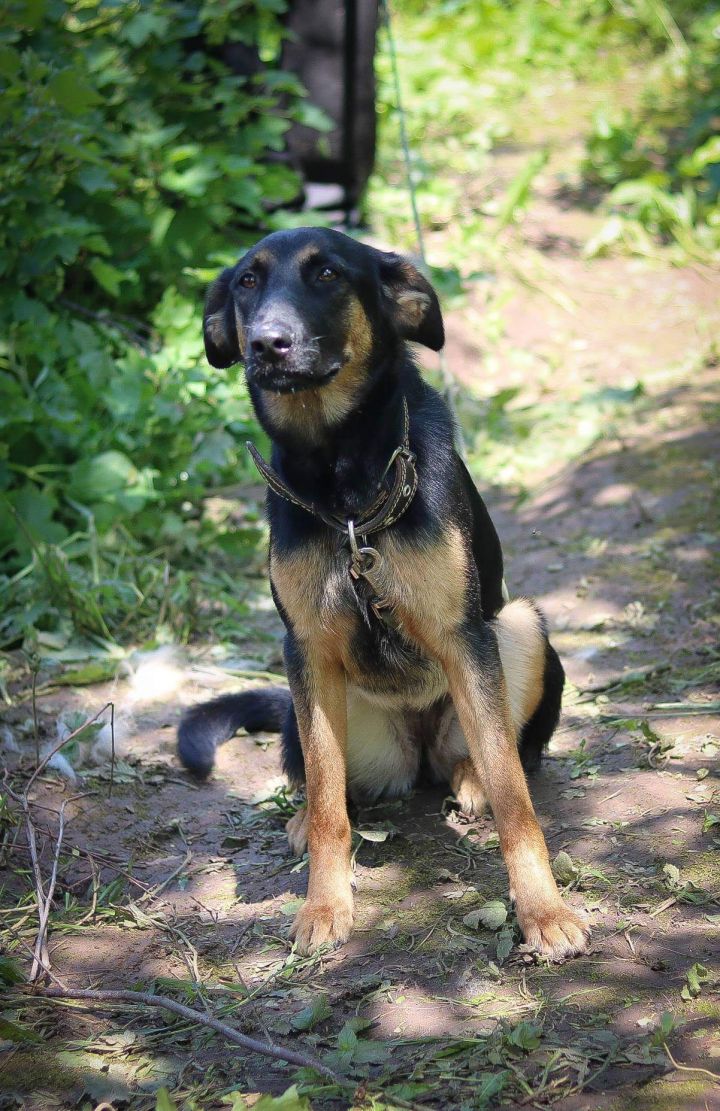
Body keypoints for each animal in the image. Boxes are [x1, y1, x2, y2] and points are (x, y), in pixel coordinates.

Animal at [178, 227, 589, 960]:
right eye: (247, 282)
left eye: (329, 274)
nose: (267, 344)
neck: (342, 479)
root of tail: (420, 748)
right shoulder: (306, 651)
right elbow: (327, 804)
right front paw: (324, 904)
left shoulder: (465, 636)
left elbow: (518, 803)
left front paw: (543, 911)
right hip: (316, 710)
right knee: (329, 787)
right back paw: (303, 821)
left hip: (518, 627)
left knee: (497, 756)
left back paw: (471, 780)